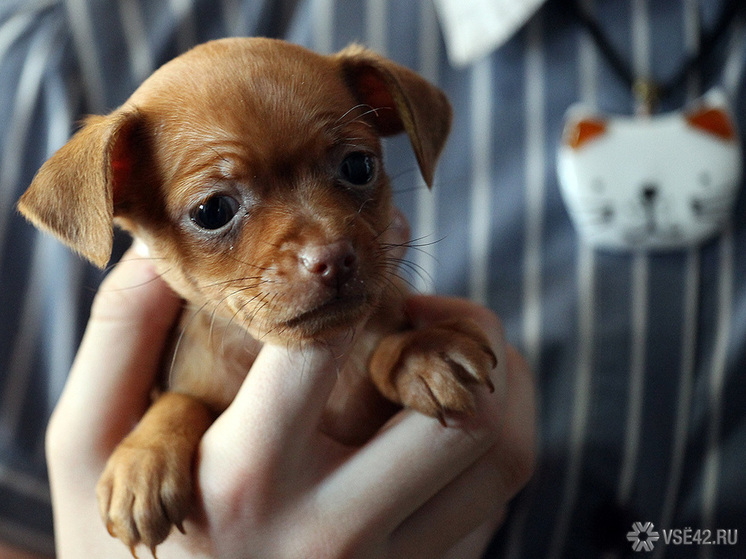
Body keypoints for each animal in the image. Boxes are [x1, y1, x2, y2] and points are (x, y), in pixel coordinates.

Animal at [17, 39, 494, 556]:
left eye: (358, 167)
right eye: (212, 211)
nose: (333, 257)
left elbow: (385, 334)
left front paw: (422, 352)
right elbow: (180, 400)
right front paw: (143, 458)